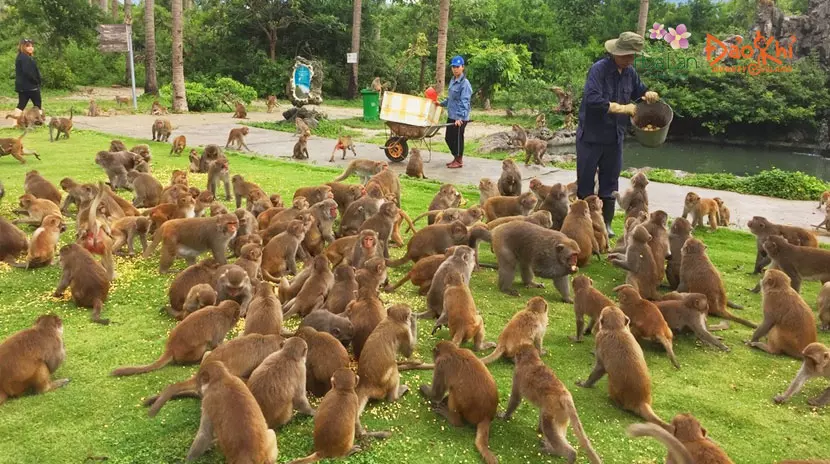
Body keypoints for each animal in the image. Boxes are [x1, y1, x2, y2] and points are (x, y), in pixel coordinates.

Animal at [111, 300, 240, 376]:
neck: (222, 312)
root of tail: (170, 347)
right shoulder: (221, 325)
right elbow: (215, 343)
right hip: (188, 352)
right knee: (201, 346)